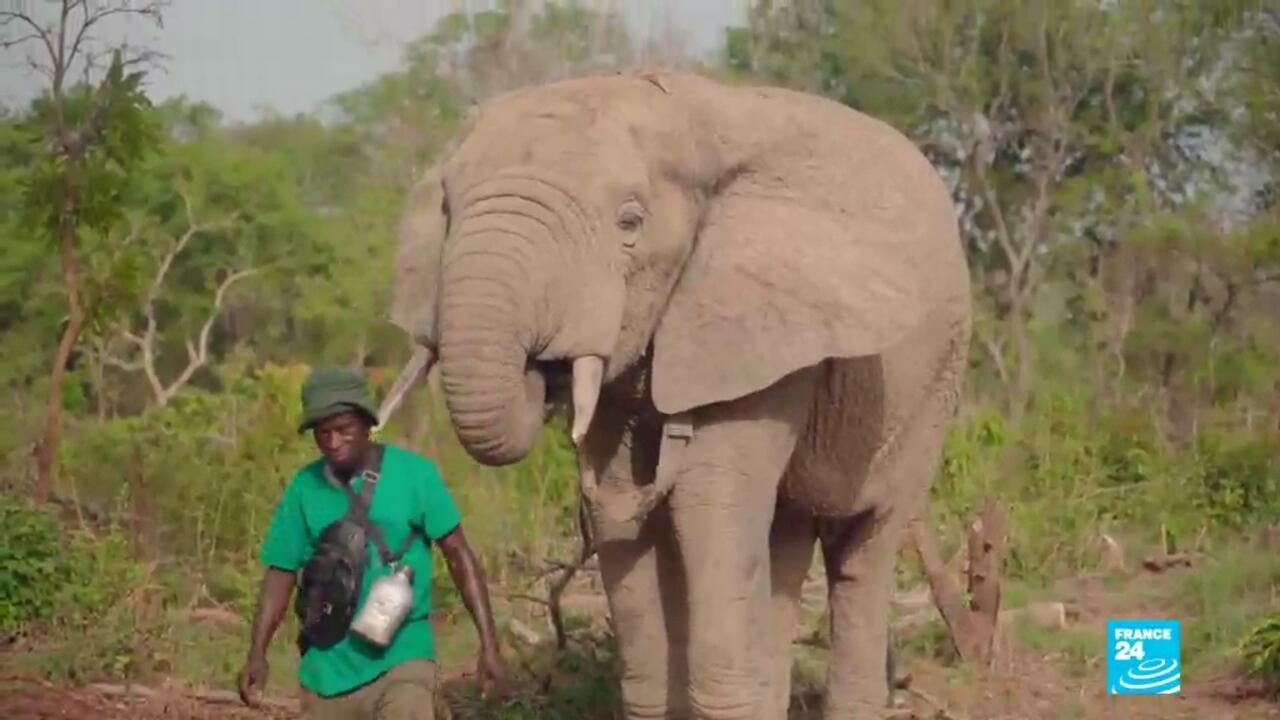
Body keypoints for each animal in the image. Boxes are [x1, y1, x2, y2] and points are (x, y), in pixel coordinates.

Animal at [376, 68, 967, 717]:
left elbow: (707, 507)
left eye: (630, 224)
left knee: (862, 543)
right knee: (784, 535)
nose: (544, 366)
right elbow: (619, 513)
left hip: (932, 387)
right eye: (447, 209)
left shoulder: (762, 327)